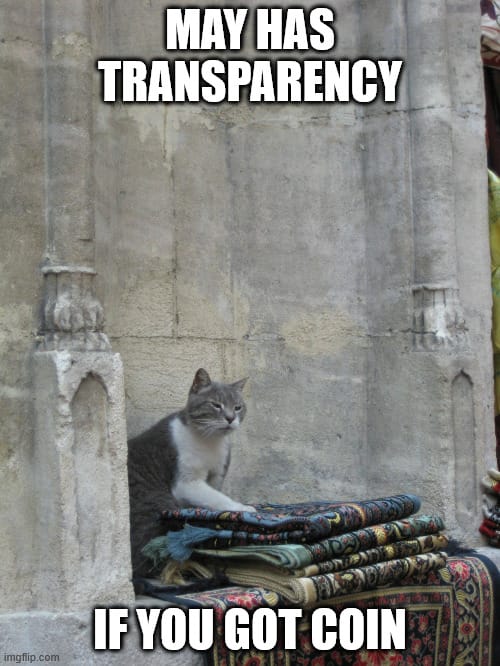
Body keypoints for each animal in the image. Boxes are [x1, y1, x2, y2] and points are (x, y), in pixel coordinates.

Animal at [127, 368, 256, 576]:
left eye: (237, 407)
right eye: (216, 405)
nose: (230, 418)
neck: (210, 441)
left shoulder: (217, 476)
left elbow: (212, 496)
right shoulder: (186, 482)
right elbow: (217, 498)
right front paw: (243, 508)